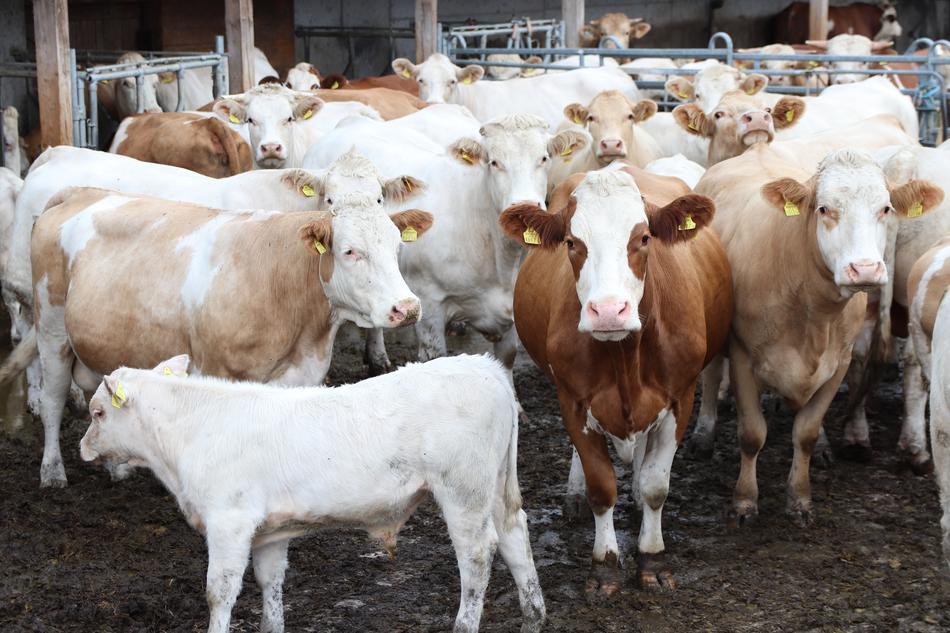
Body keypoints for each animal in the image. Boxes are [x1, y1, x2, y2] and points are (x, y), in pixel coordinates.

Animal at [3, 173, 432, 487]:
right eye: (349, 251)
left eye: (397, 247)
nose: (407, 307)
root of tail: (80, 193)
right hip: (52, 329)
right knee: (54, 400)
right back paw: (52, 472)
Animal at [79, 353, 544, 633]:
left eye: (98, 413)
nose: (83, 447)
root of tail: (483, 366)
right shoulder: (268, 531)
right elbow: (270, 583)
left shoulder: (229, 522)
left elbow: (219, 590)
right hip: (495, 487)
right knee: (514, 534)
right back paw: (534, 616)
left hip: (464, 491)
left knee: (478, 555)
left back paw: (466, 624)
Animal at [498, 166, 731, 592]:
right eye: (572, 242)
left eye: (643, 238)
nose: (608, 311)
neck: (624, 356)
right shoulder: (573, 401)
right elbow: (601, 486)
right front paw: (604, 564)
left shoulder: (681, 398)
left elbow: (657, 485)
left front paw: (652, 558)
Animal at [692, 148, 941, 527]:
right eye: (824, 208)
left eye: (885, 208)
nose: (865, 269)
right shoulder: (743, 357)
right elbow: (751, 435)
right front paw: (745, 501)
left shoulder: (837, 362)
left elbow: (806, 432)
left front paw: (800, 498)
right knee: (710, 373)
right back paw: (703, 435)